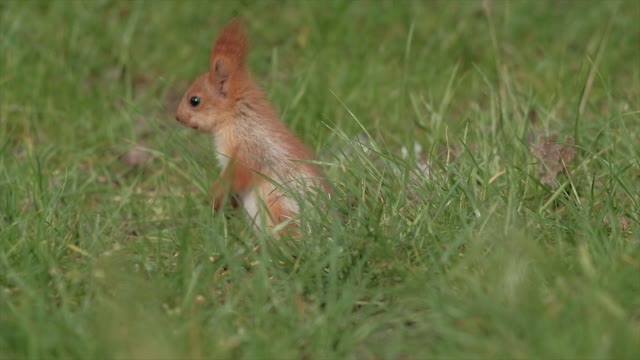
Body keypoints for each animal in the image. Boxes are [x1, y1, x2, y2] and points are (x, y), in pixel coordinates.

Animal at [175, 19, 330, 233]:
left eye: (194, 100)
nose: (177, 117)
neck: (237, 117)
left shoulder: (248, 150)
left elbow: (237, 176)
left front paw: (213, 198)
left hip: (278, 206)